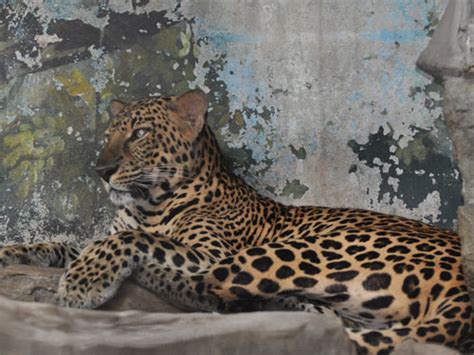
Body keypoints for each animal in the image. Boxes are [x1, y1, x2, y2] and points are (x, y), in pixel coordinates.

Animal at [0, 90, 472, 354]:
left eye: (140, 134)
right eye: (109, 134)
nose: (101, 170)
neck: (149, 204)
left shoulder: (207, 249)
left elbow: (132, 240)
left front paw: (84, 282)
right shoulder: (92, 238)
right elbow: (61, 244)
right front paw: (12, 253)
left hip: (302, 250)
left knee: (215, 286)